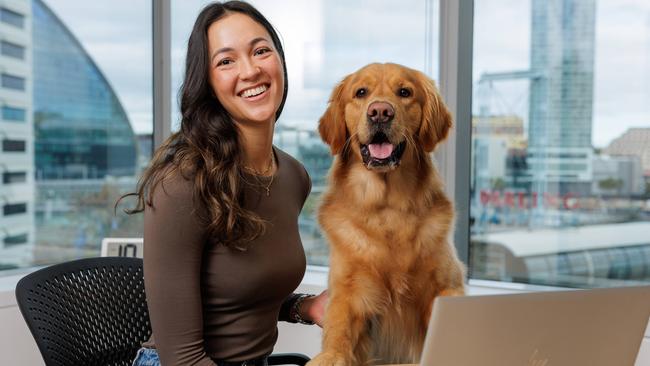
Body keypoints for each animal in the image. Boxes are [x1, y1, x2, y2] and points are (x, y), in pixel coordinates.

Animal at [306, 63, 464, 366]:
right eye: (361, 92)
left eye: (405, 92)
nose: (380, 112)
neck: (388, 207)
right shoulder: (348, 292)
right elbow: (339, 329)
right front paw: (330, 356)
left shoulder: (446, 287)